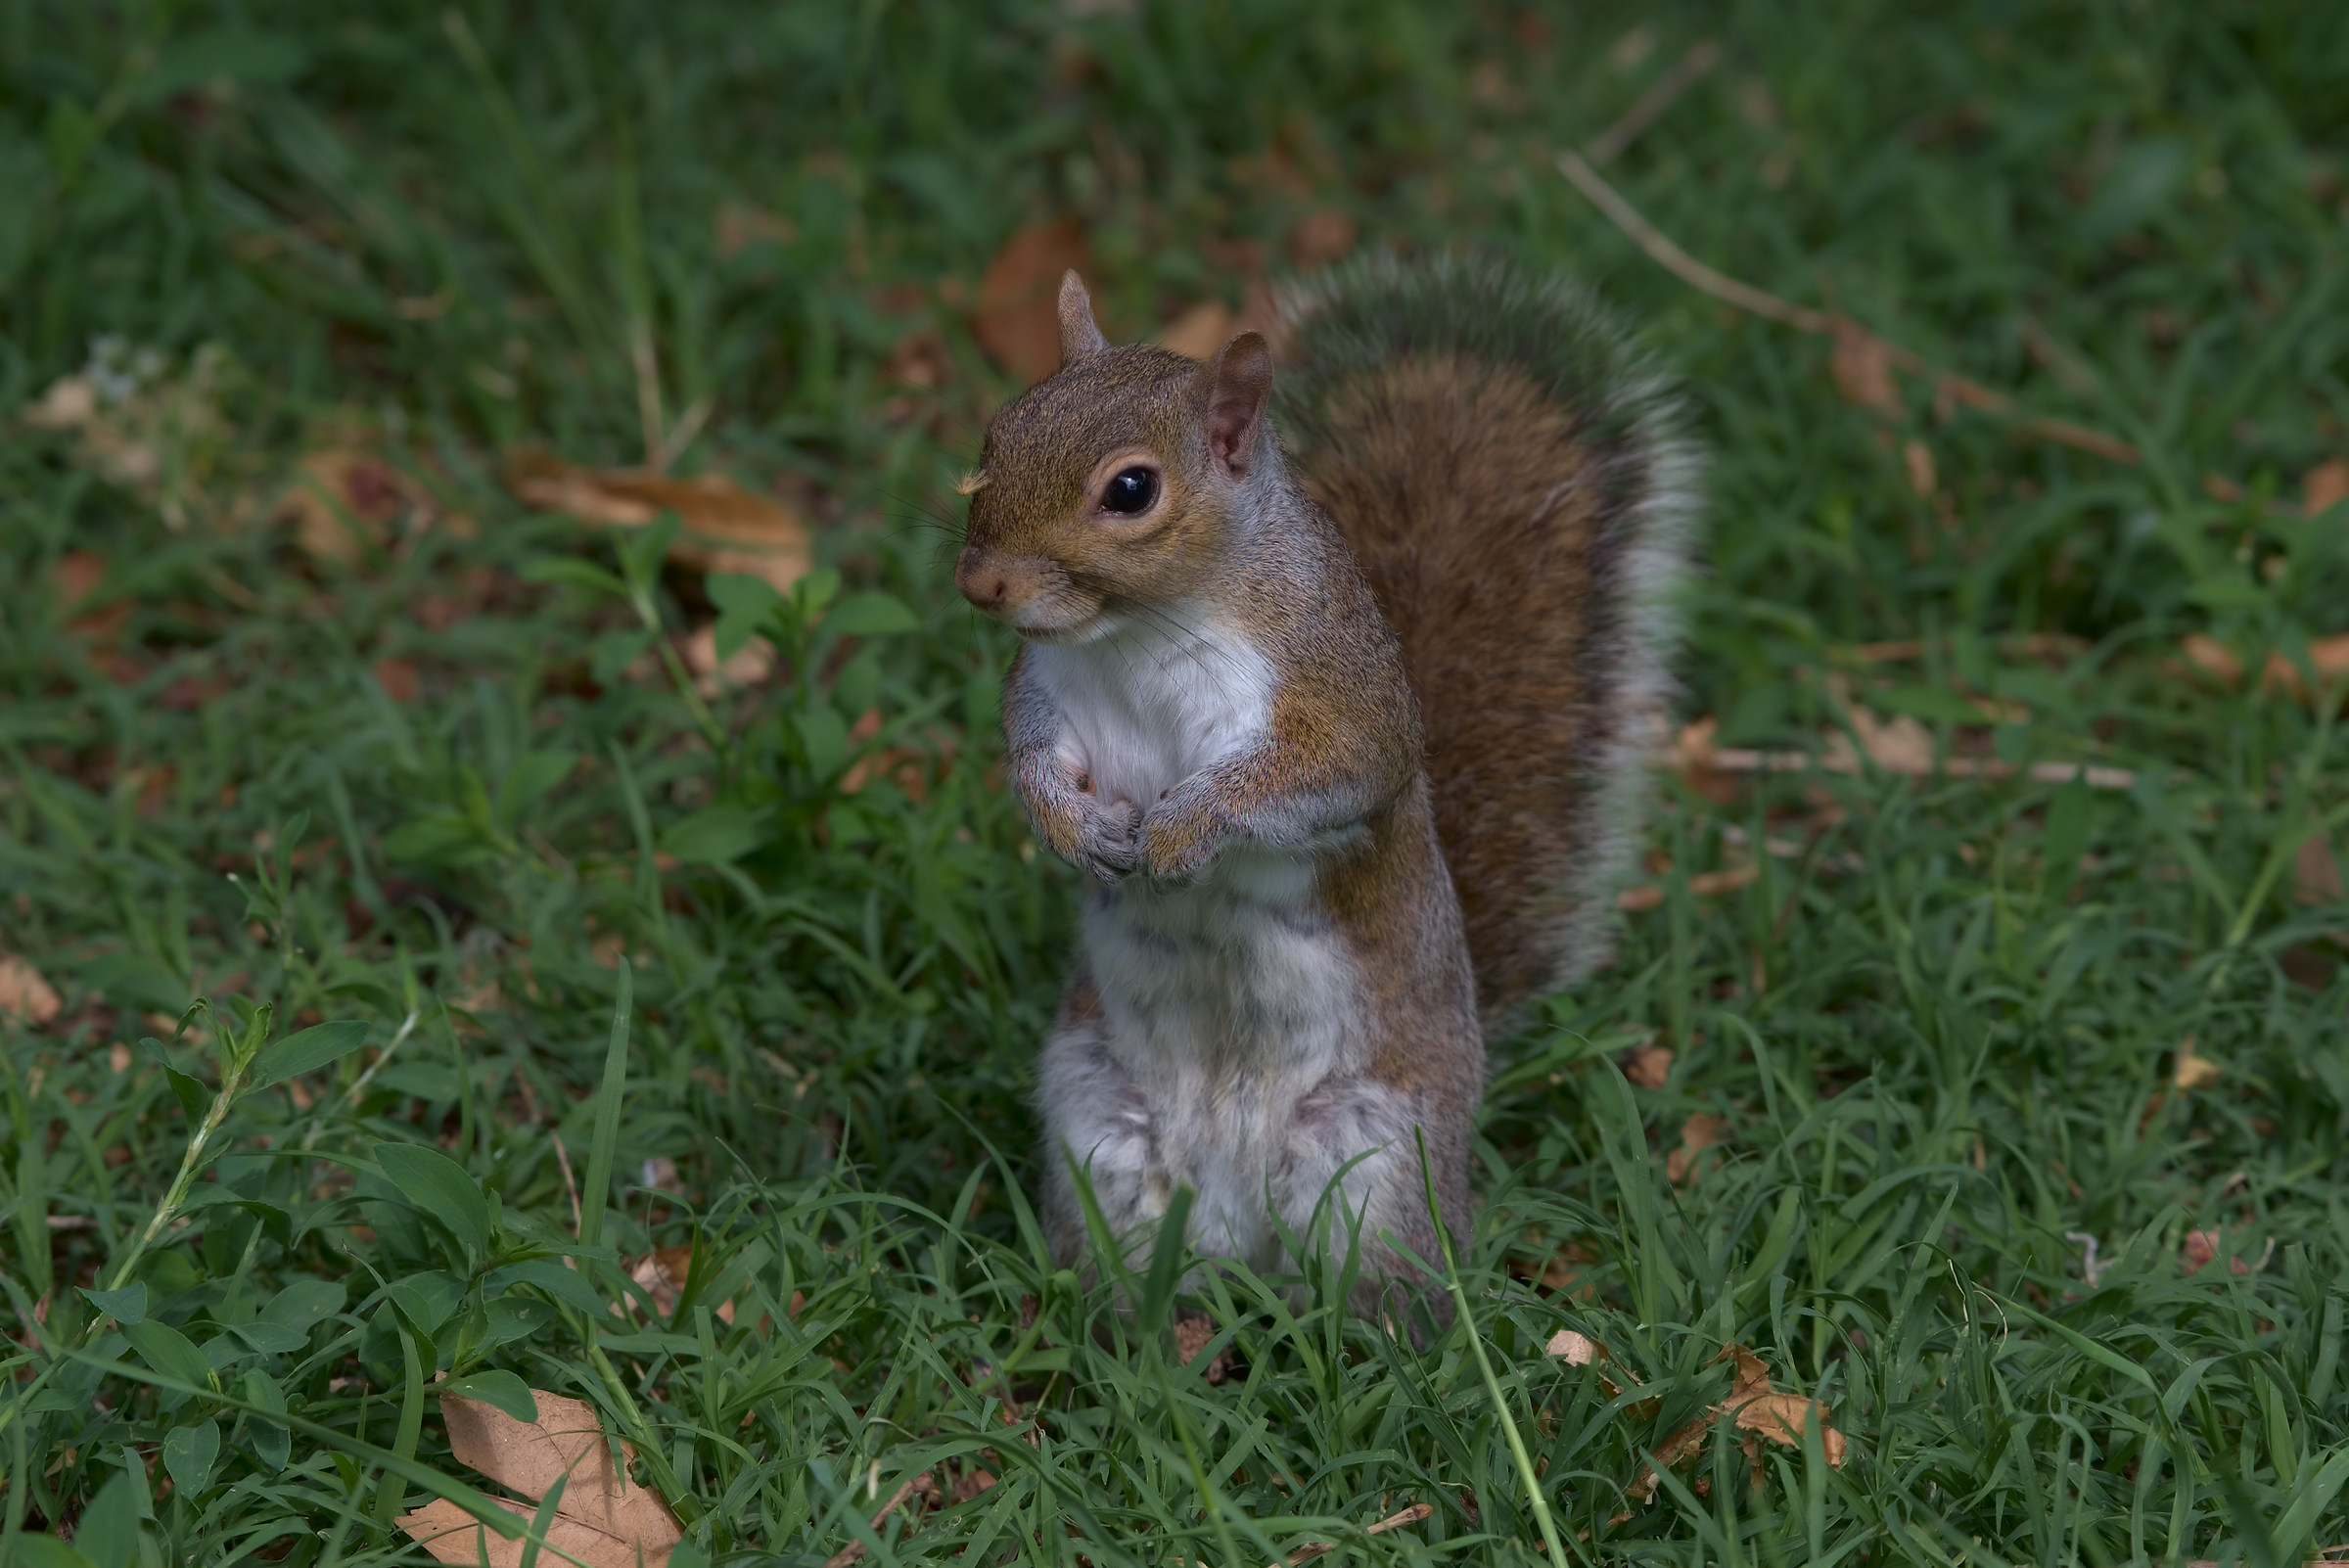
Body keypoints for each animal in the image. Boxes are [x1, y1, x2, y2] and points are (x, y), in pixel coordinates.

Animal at [953, 255, 1697, 1323]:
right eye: (999, 430)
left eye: (1131, 489)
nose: (982, 584)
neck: (1140, 633)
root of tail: (1239, 1230)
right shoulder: (1047, 697)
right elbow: (1030, 766)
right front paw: (1071, 829)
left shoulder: (1337, 701)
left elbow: (1314, 780)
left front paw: (1184, 829)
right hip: (1103, 1130)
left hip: (1372, 1154)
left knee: (1385, 1282)